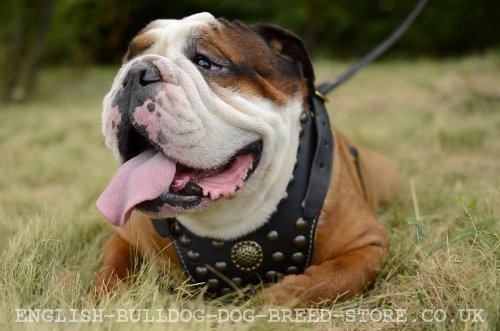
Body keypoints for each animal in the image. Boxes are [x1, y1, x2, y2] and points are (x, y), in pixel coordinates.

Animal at [94, 13, 402, 306]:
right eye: (129, 58)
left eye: (206, 62)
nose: (136, 72)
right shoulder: (124, 238)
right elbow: (111, 270)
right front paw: (99, 300)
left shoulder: (367, 246)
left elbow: (322, 283)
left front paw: (262, 304)